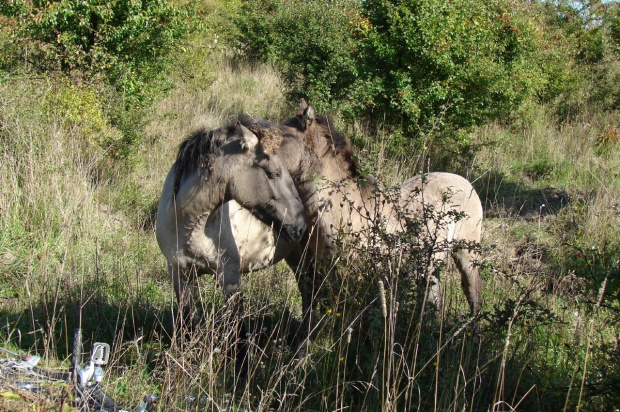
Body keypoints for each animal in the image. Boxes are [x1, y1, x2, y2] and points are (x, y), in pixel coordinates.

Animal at [156, 121, 306, 328]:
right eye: (272, 173)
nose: (299, 227)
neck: (188, 228)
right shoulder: (178, 274)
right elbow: (187, 320)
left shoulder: (230, 276)